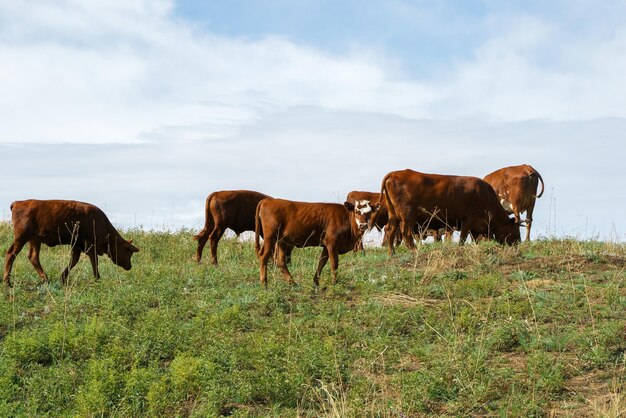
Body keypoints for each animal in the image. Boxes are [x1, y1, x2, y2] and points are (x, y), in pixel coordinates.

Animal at [3, 200, 140, 288]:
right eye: (129, 251)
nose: (130, 266)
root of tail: (19, 202)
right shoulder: (90, 245)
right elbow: (94, 262)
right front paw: (97, 279)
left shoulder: (77, 245)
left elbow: (73, 261)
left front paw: (62, 278)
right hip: (21, 237)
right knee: (11, 254)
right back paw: (7, 282)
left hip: (34, 240)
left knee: (33, 257)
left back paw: (45, 279)